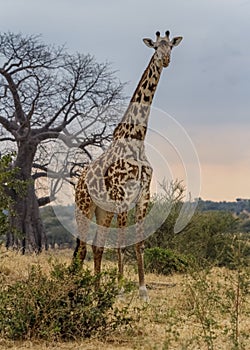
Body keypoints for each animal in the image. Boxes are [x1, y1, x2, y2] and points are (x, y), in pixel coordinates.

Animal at [73, 30, 182, 300]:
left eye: (171, 47)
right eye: (155, 47)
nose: (165, 60)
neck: (136, 137)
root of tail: (78, 181)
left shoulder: (143, 194)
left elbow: (139, 242)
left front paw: (143, 290)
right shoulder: (122, 193)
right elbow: (122, 241)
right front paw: (121, 289)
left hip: (103, 211)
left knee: (96, 245)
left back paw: (96, 290)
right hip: (84, 206)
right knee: (82, 248)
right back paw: (74, 288)